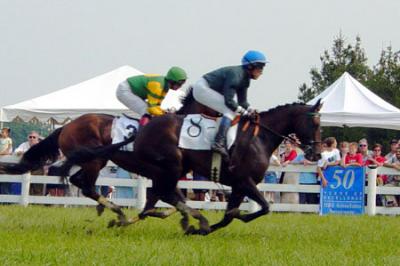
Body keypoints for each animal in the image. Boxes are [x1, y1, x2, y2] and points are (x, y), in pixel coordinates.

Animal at [59, 97, 324, 235]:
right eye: (315, 124)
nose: (317, 153)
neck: (259, 137)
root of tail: (66, 126)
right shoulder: (244, 181)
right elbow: (264, 207)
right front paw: (203, 224)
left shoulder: (239, 185)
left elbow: (229, 216)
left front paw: (202, 226)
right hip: (133, 164)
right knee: (88, 186)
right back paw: (123, 214)